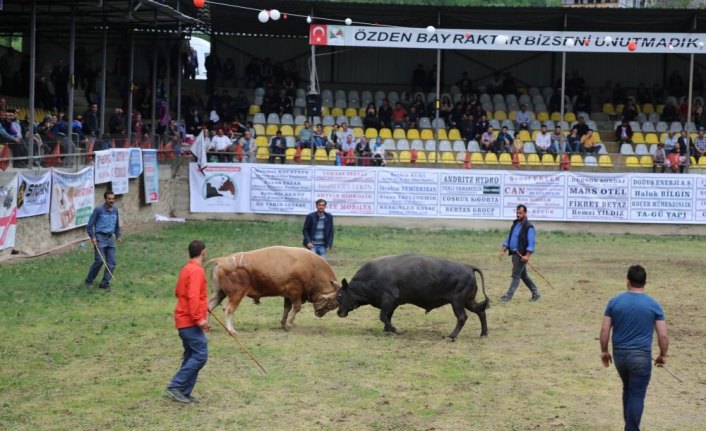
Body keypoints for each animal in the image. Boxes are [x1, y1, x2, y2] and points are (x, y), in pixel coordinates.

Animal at [206, 246, 338, 334]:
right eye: (331, 304)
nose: (319, 314)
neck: (312, 268)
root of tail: (222, 260)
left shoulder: (287, 295)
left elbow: (287, 308)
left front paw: (284, 324)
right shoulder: (295, 292)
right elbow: (296, 307)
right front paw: (289, 324)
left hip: (219, 293)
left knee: (210, 307)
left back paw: (207, 326)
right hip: (236, 295)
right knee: (228, 309)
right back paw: (232, 330)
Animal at [336, 253, 490, 340]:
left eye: (339, 295)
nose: (338, 312)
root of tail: (468, 266)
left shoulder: (389, 300)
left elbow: (383, 316)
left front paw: (394, 329)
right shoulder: (392, 304)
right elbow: (387, 317)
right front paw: (387, 330)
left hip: (457, 302)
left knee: (462, 317)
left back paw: (451, 336)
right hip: (468, 301)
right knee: (481, 311)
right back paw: (483, 333)